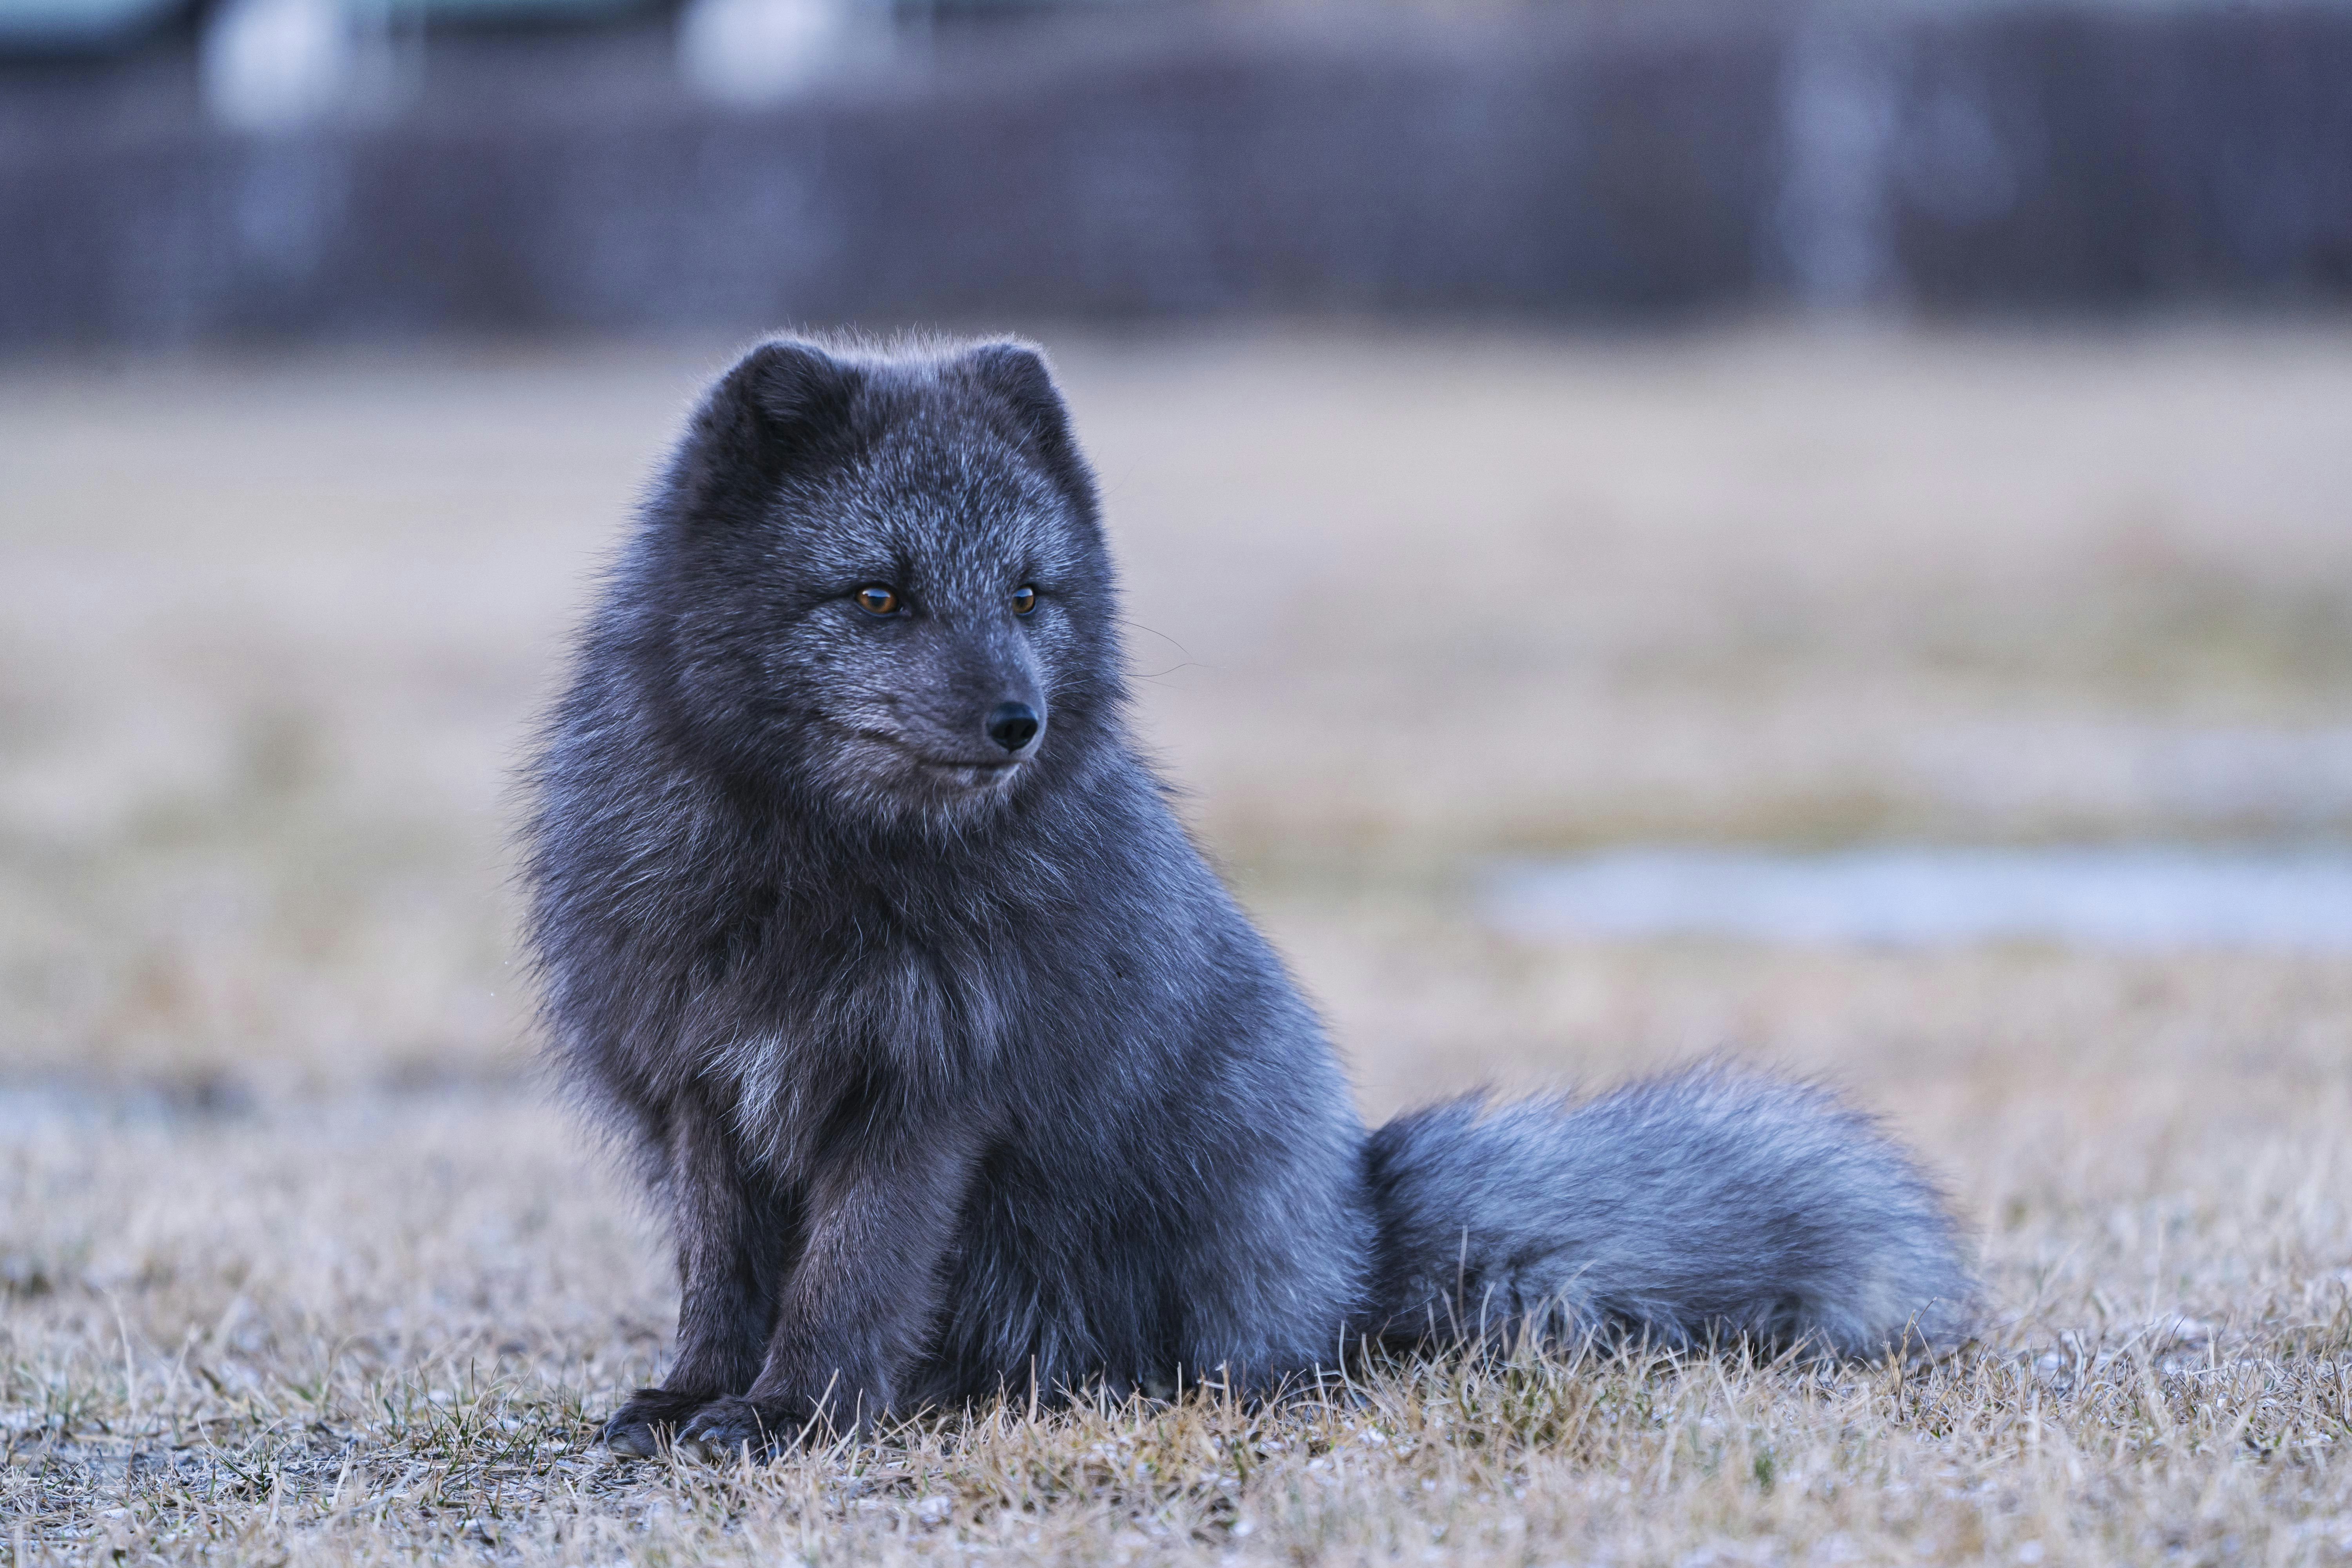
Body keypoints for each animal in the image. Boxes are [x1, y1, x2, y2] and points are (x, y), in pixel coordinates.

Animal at [524, 334, 1976, 1457]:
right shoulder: (704, 1082)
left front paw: (792, 1417)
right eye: (878, 595)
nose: (1017, 723)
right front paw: (697, 1400)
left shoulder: (923, 1097)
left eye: (1028, 594)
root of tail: (1358, 1241)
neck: (823, 871)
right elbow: (721, 1280)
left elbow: (844, 1282)